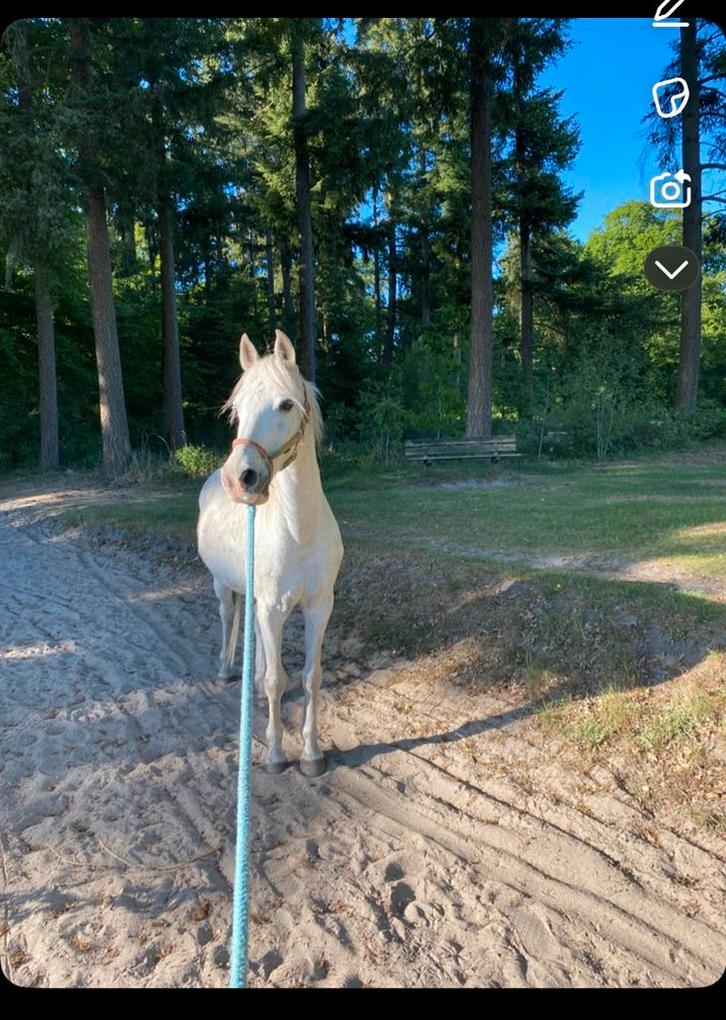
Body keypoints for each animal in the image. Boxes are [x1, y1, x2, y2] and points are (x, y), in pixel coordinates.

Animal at [197, 329, 344, 777]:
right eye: (237, 409)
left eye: (285, 404)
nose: (240, 478)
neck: (299, 530)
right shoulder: (272, 607)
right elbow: (279, 680)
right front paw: (276, 755)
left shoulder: (318, 607)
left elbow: (310, 676)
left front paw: (311, 754)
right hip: (223, 585)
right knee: (229, 619)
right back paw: (226, 670)